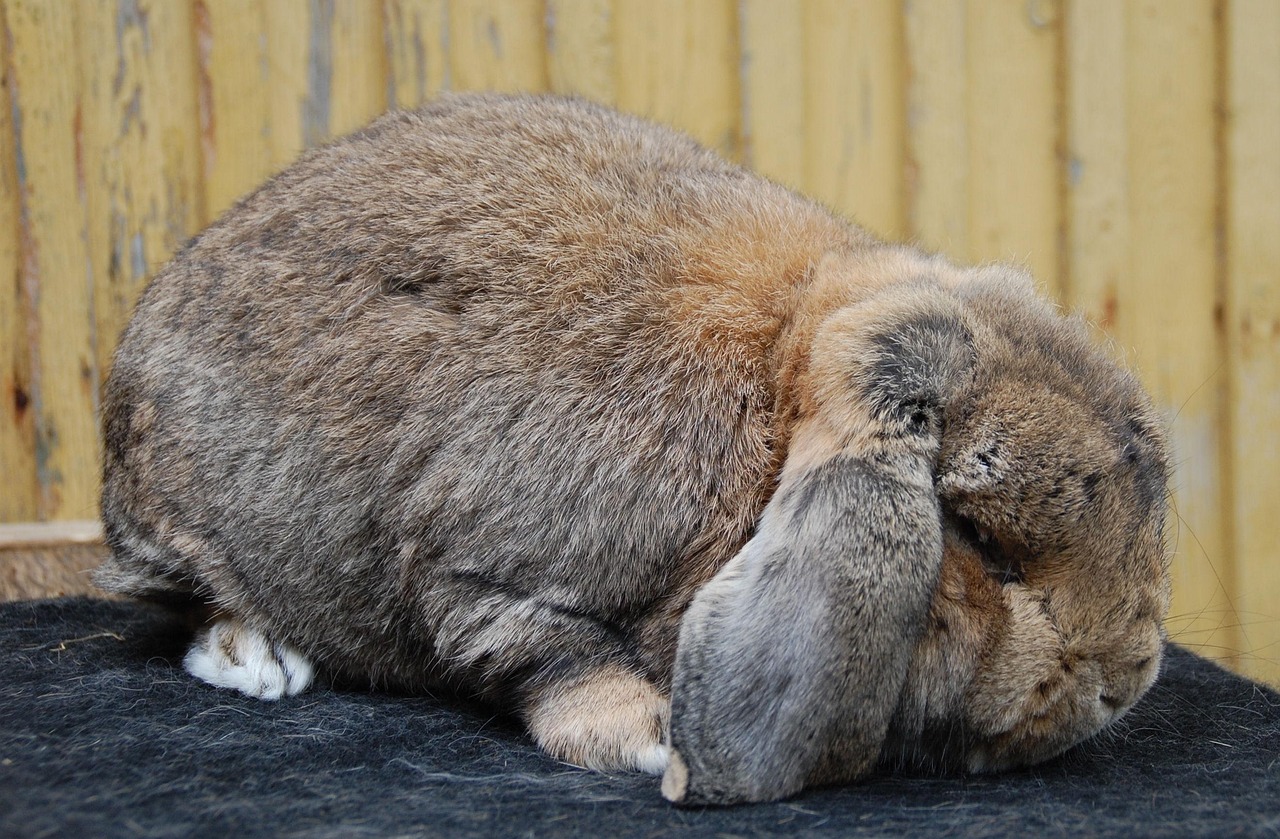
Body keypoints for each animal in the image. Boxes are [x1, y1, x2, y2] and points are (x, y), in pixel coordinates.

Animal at [94, 92, 1172, 809]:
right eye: (982, 543)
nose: (1125, 681)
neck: (778, 381)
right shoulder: (485, 576)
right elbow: (546, 652)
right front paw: (651, 739)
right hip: (171, 518)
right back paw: (257, 656)